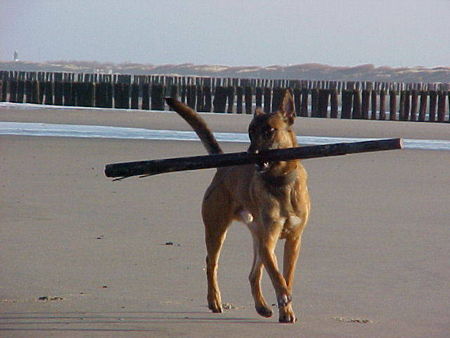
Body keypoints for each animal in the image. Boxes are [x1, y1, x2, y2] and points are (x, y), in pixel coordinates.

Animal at [165, 91, 310, 324]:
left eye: (269, 131)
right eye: (250, 132)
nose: (250, 154)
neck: (279, 181)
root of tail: (223, 169)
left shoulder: (293, 240)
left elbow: (287, 276)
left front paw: (286, 308)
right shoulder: (268, 241)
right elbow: (277, 277)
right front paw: (284, 300)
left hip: (256, 238)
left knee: (253, 274)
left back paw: (261, 306)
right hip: (217, 229)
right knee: (211, 264)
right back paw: (214, 300)